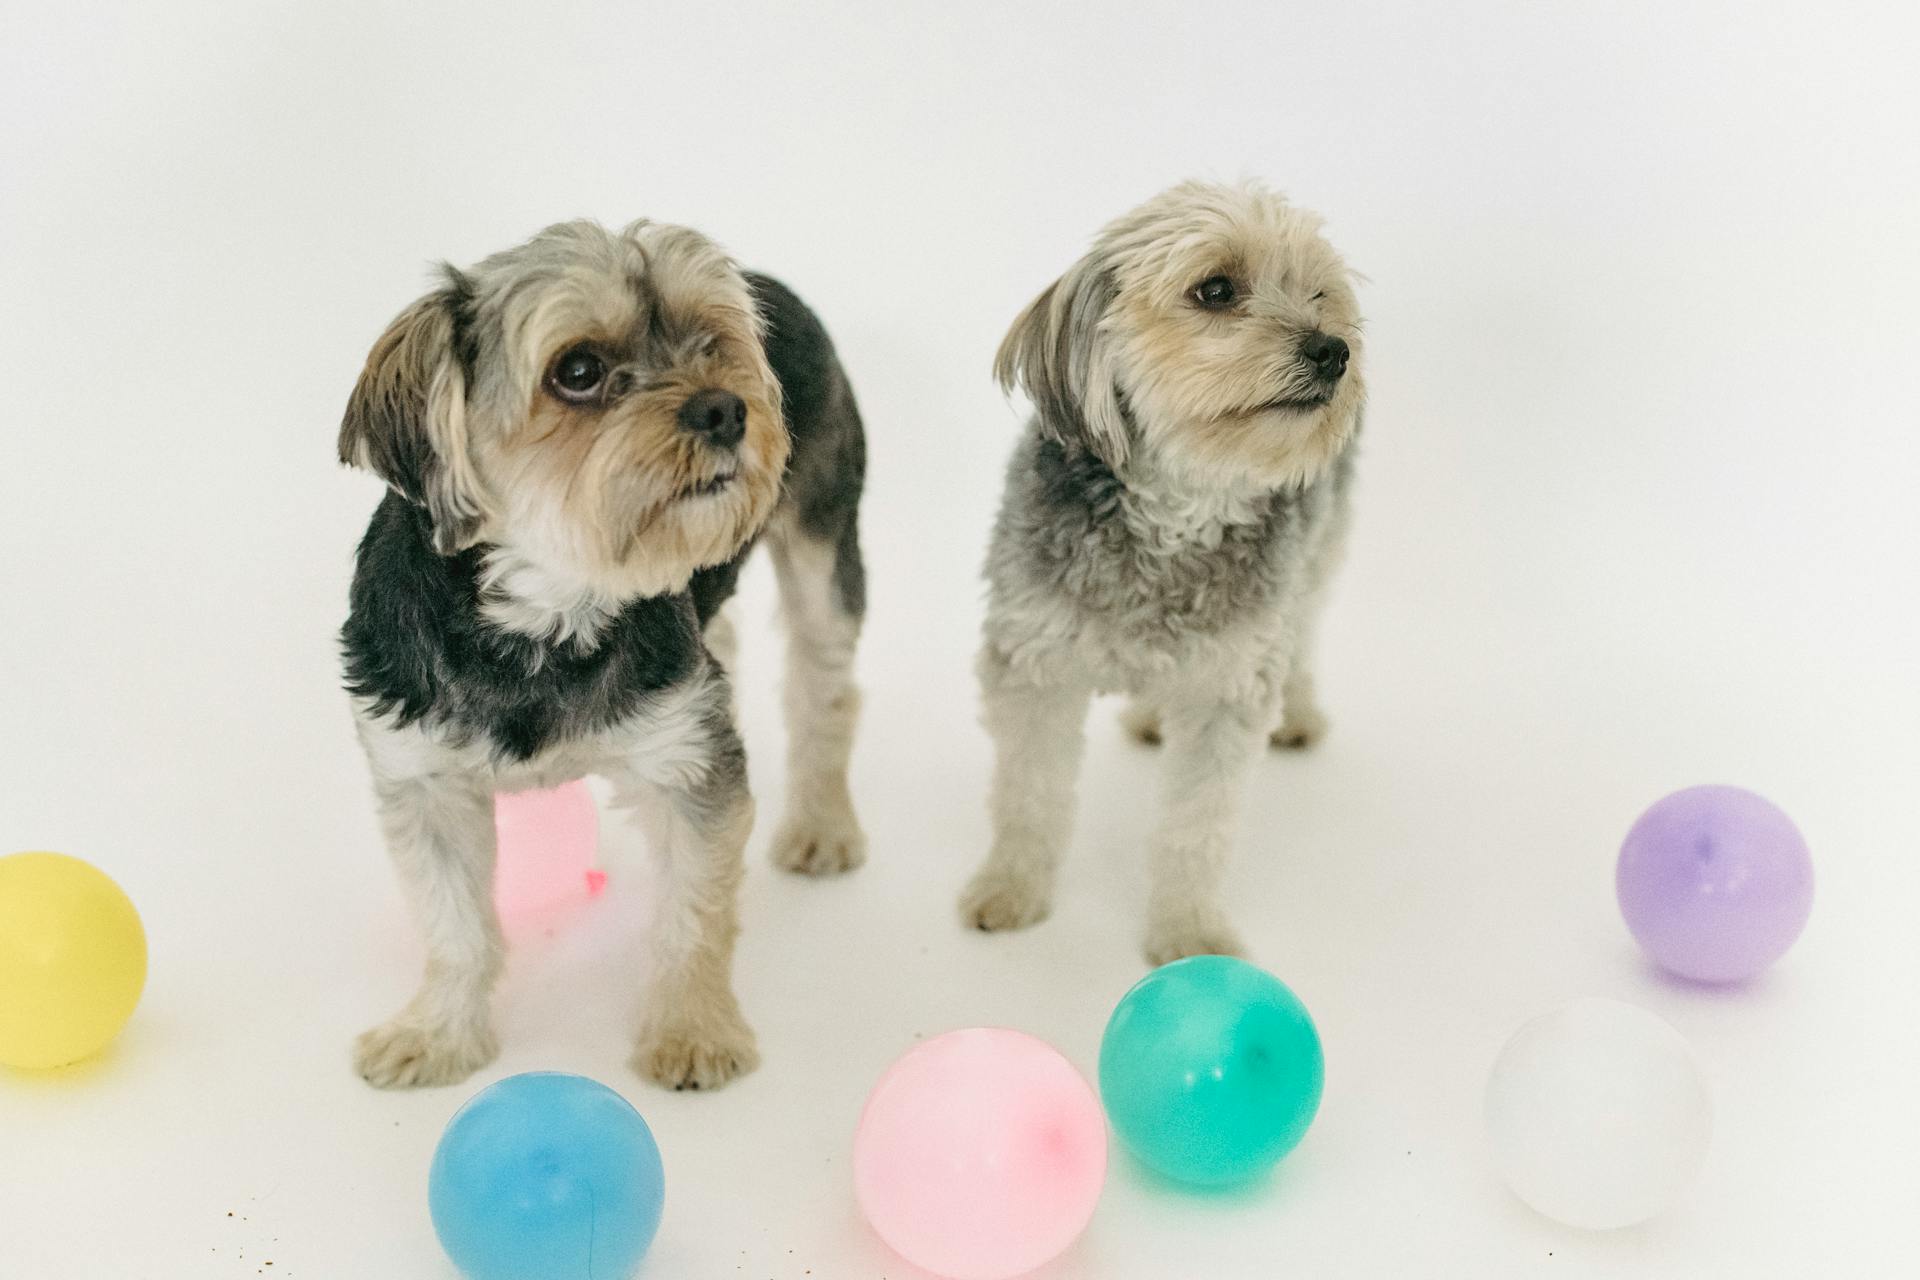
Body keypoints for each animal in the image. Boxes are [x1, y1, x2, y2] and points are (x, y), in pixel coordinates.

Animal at [336, 217, 864, 1090]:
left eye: (713, 341)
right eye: (577, 371)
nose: (727, 408)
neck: (546, 612)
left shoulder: (688, 761)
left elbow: (693, 912)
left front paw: (692, 1031)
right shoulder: (422, 775)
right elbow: (454, 926)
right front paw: (438, 1034)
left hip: (824, 534)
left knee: (824, 687)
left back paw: (823, 824)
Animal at [960, 177, 1367, 959]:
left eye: (1319, 294)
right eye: (1215, 289)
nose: (1333, 350)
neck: (1175, 510)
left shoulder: (1228, 689)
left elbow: (1194, 830)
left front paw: (1189, 932)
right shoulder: (1033, 665)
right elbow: (1030, 797)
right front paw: (1012, 890)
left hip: (1319, 549)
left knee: (1303, 630)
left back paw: (1298, 712)